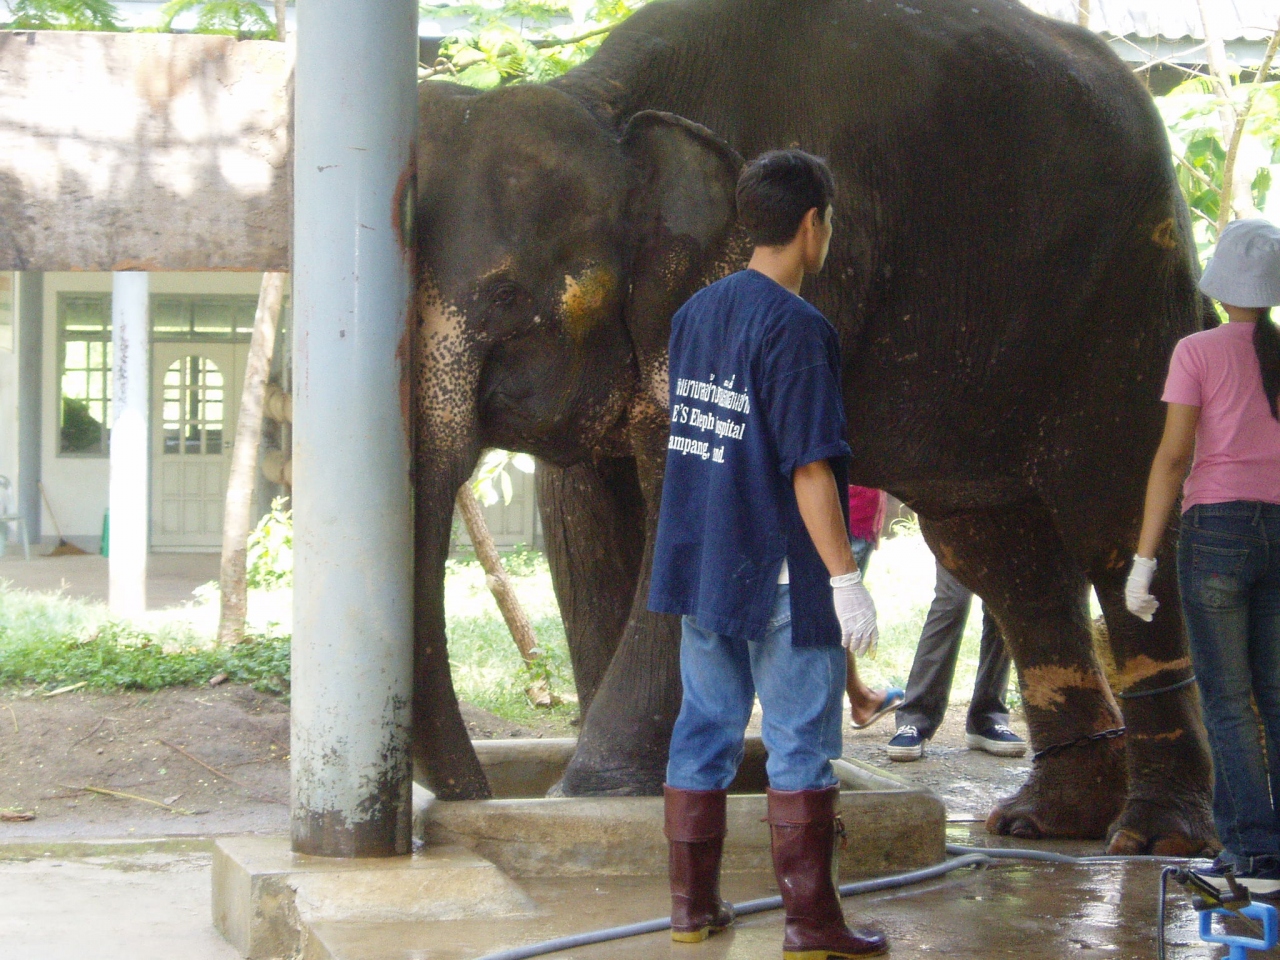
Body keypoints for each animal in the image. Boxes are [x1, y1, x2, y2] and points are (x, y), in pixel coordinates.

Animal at [410, 0, 1218, 854]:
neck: (607, 99)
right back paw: (1046, 821)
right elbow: (580, 514)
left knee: (1113, 520)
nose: (465, 803)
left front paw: (595, 793)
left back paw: (1154, 838)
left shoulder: (801, 291)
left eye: (505, 300)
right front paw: (640, 786)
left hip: (1125, 304)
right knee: (997, 550)